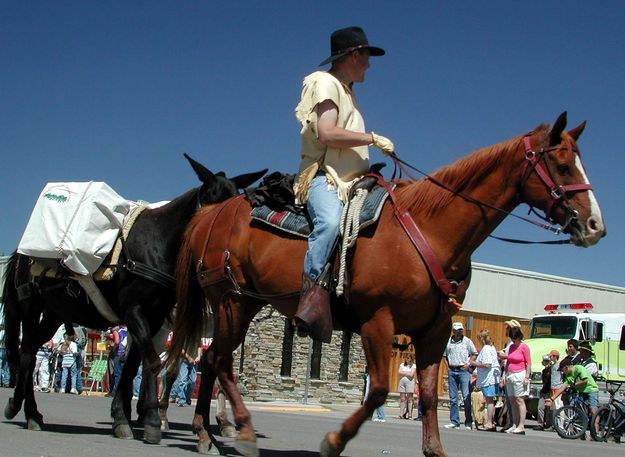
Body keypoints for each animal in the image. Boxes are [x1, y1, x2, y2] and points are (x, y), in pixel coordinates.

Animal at [168, 111, 604, 456]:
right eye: (563, 166)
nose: (595, 225)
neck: (431, 229)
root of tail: (212, 214)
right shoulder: (377, 321)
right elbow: (377, 389)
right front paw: (334, 441)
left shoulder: (435, 330)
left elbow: (426, 394)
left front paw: (434, 450)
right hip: (231, 302)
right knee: (220, 361)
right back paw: (239, 430)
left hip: (246, 303)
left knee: (211, 359)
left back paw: (205, 434)